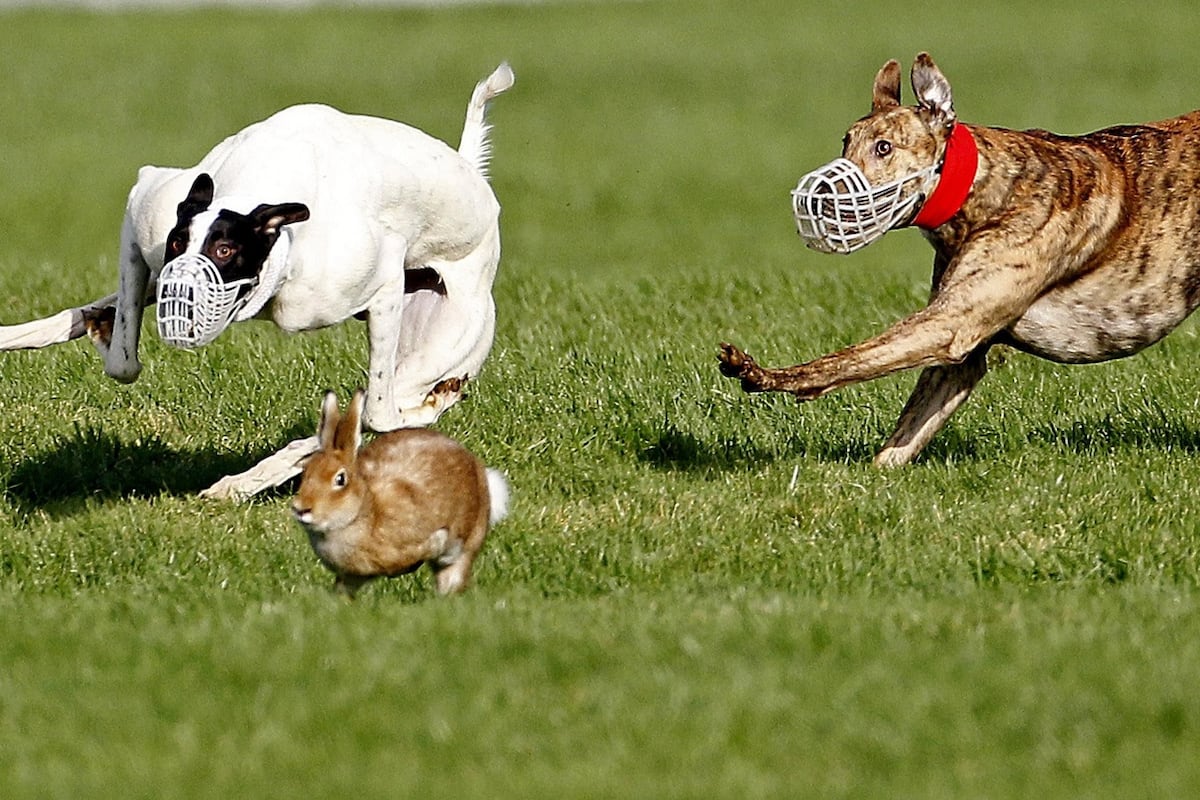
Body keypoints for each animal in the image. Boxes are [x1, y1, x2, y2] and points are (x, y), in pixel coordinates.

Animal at [290, 389, 509, 597]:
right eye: (305, 471)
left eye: (340, 479)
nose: (301, 508)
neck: (364, 511)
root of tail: (480, 473)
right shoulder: (351, 576)